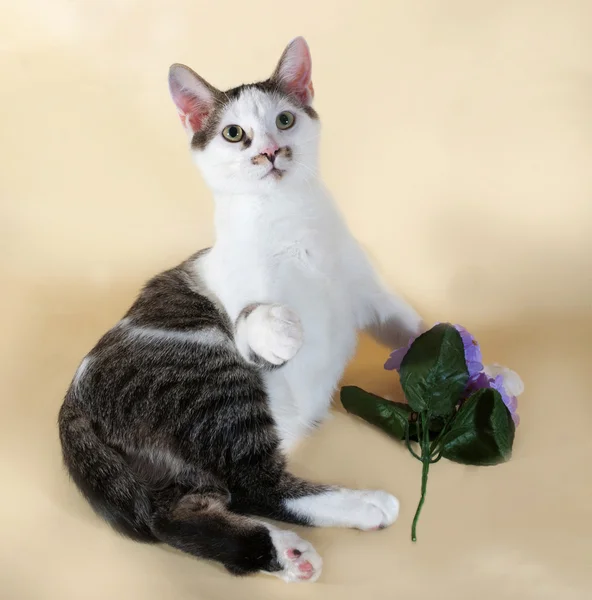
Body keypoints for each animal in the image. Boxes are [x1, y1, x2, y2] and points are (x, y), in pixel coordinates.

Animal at [59, 36, 420, 580]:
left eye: (285, 120)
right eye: (235, 134)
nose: (269, 151)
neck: (291, 221)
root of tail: (72, 400)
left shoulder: (367, 292)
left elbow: (408, 326)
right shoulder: (241, 307)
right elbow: (256, 321)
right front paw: (273, 327)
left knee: (181, 510)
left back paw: (282, 552)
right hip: (211, 374)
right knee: (252, 484)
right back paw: (359, 507)